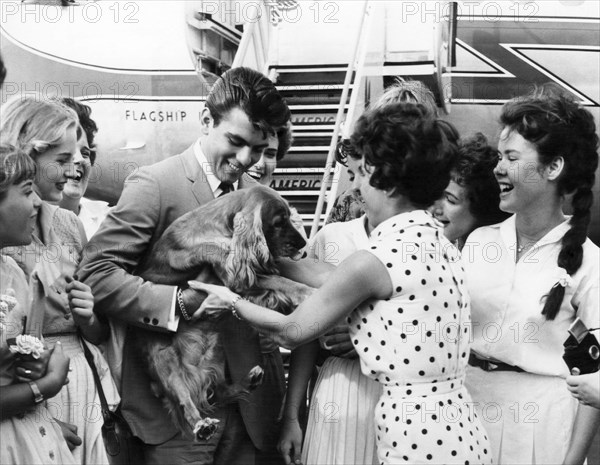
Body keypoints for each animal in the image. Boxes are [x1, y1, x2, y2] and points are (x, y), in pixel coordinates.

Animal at [133, 184, 308, 438]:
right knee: (185, 399)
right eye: (278, 222)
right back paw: (201, 425)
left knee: (218, 391)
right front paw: (306, 292)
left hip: (217, 351)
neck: (220, 226)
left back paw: (249, 381)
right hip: (164, 361)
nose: (303, 244)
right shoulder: (233, 274)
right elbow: (280, 280)